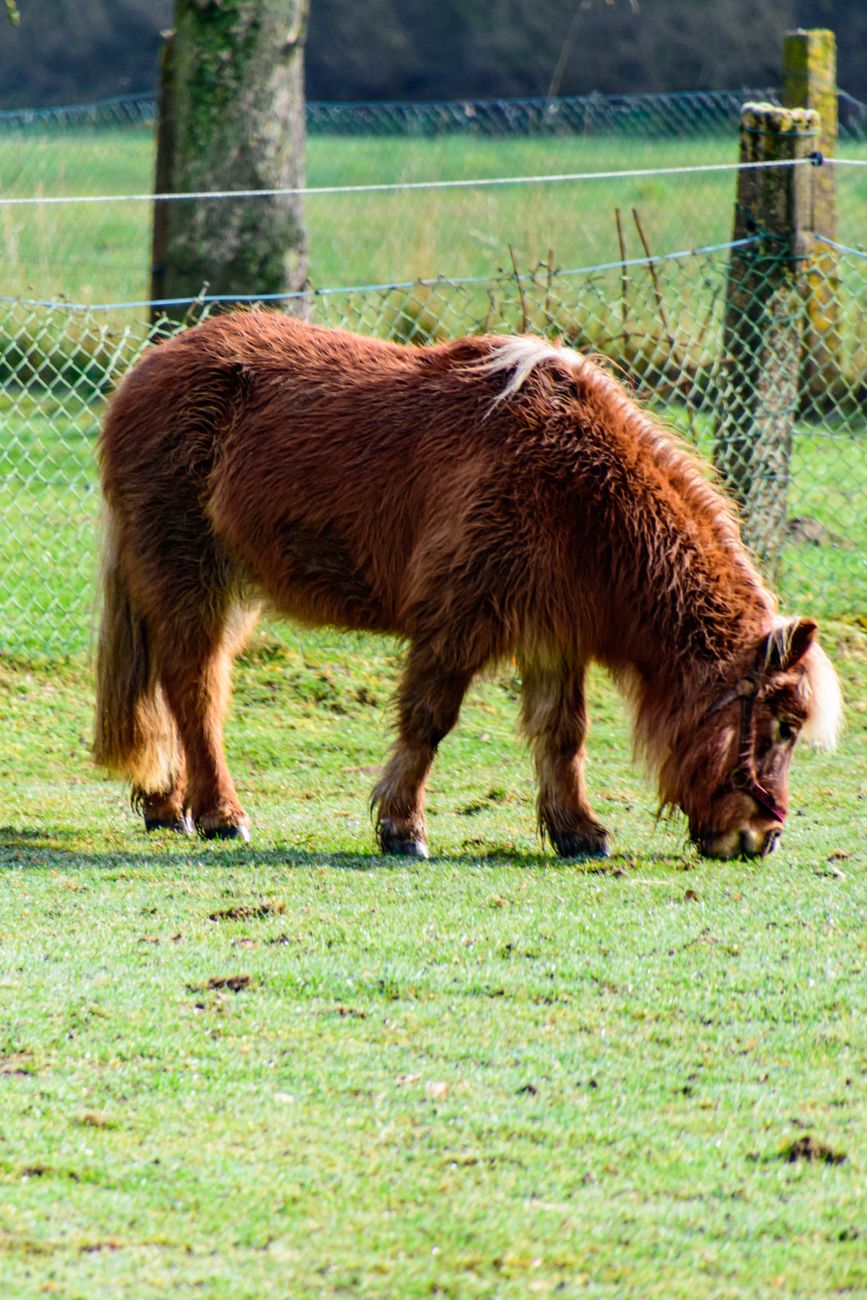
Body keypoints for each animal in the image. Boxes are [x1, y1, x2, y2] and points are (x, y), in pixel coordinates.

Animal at [93, 311, 841, 860]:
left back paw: (167, 805)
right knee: (194, 690)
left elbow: (562, 735)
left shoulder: (552, 637)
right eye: (781, 725)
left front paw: (578, 831)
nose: (762, 840)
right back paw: (220, 814)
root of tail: (145, 369)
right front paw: (401, 829)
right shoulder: (457, 623)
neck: (577, 488)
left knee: (173, 687)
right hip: (189, 577)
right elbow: (428, 722)